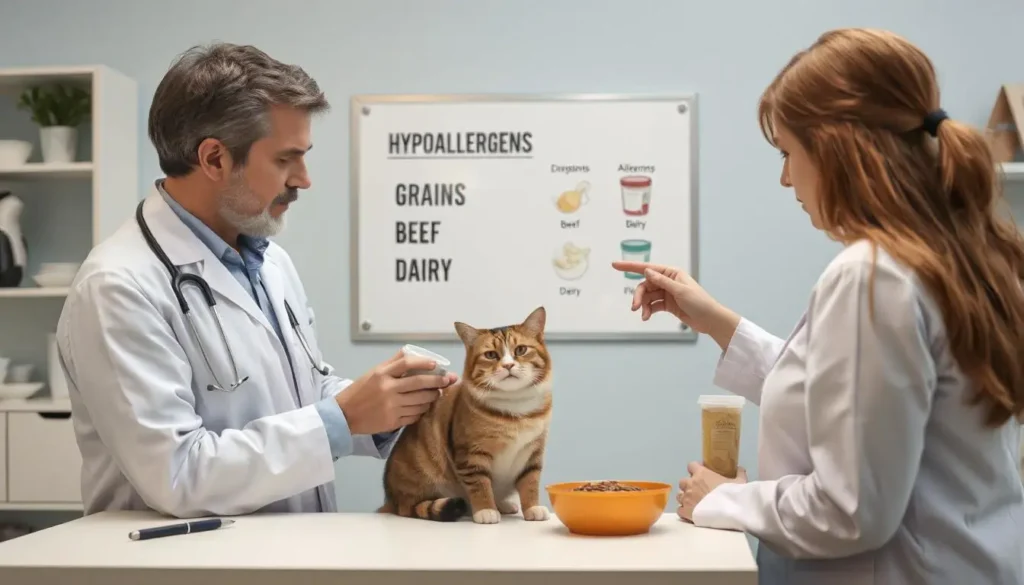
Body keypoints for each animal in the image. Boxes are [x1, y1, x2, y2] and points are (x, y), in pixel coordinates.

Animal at [378, 307, 552, 524]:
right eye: (491, 354)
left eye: (520, 350)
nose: (508, 365)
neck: (516, 410)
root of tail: (391, 500)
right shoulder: (470, 454)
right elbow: (480, 485)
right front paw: (486, 510)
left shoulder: (533, 453)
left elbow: (530, 482)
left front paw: (532, 508)